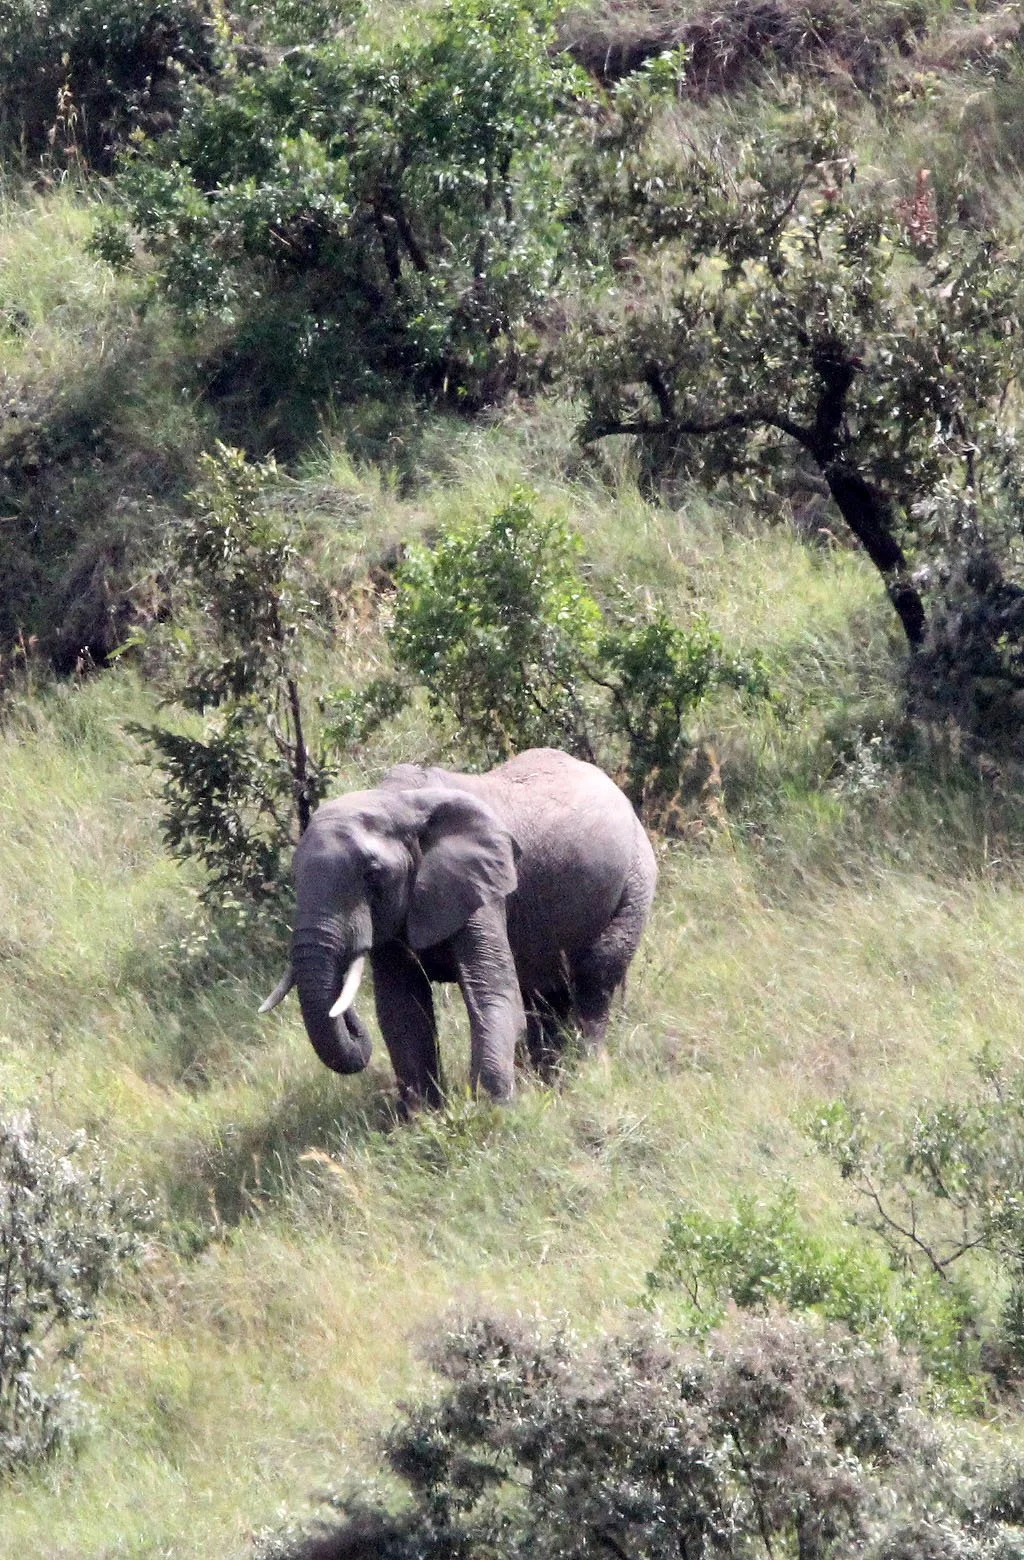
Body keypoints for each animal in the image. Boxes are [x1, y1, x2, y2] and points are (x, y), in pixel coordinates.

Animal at [259, 747, 657, 1109]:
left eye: (373, 874)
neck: (399, 802)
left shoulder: (484, 889)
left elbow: (491, 992)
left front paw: (491, 1114)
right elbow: (401, 1011)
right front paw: (423, 1120)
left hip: (634, 882)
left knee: (594, 979)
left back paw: (585, 1073)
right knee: (543, 995)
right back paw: (549, 1080)